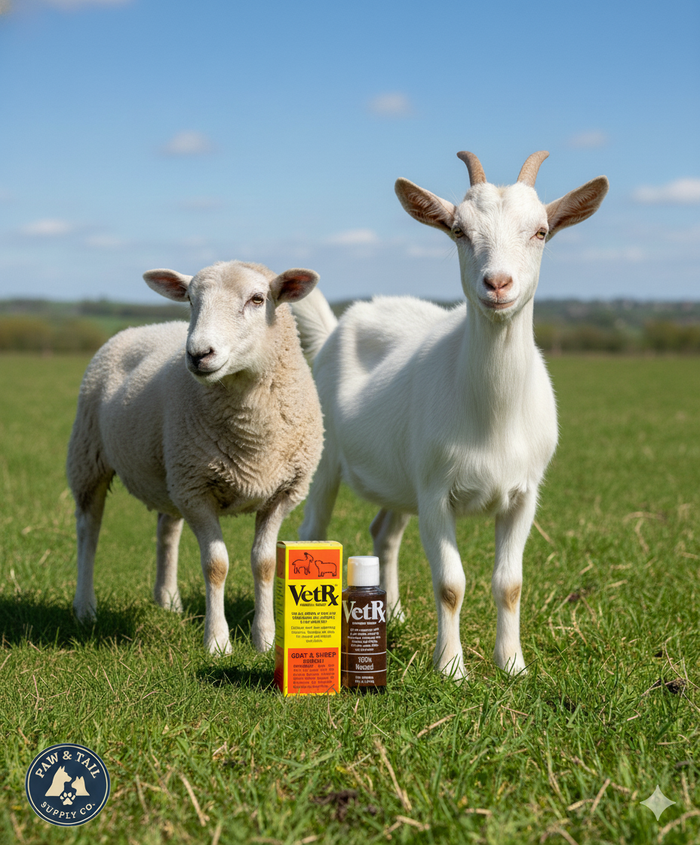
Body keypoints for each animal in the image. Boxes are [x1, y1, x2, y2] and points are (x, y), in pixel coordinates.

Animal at [67, 260, 324, 655]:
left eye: (257, 298)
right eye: (190, 299)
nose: (199, 354)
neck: (253, 434)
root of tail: (145, 328)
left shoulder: (282, 493)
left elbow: (265, 564)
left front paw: (265, 639)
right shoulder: (197, 491)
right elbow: (215, 565)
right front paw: (217, 642)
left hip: (170, 469)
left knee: (166, 529)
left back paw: (168, 601)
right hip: (89, 455)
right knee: (88, 530)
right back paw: (85, 607)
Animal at [292, 151, 609, 679]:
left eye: (541, 231)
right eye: (458, 230)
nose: (497, 283)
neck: (493, 417)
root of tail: (339, 325)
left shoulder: (524, 495)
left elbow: (510, 583)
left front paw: (512, 665)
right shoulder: (436, 493)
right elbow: (451, 584)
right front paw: (452, 668)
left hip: (401, 481)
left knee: (384, 533)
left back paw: (395, 613)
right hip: (329, 460)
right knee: (312, 530)